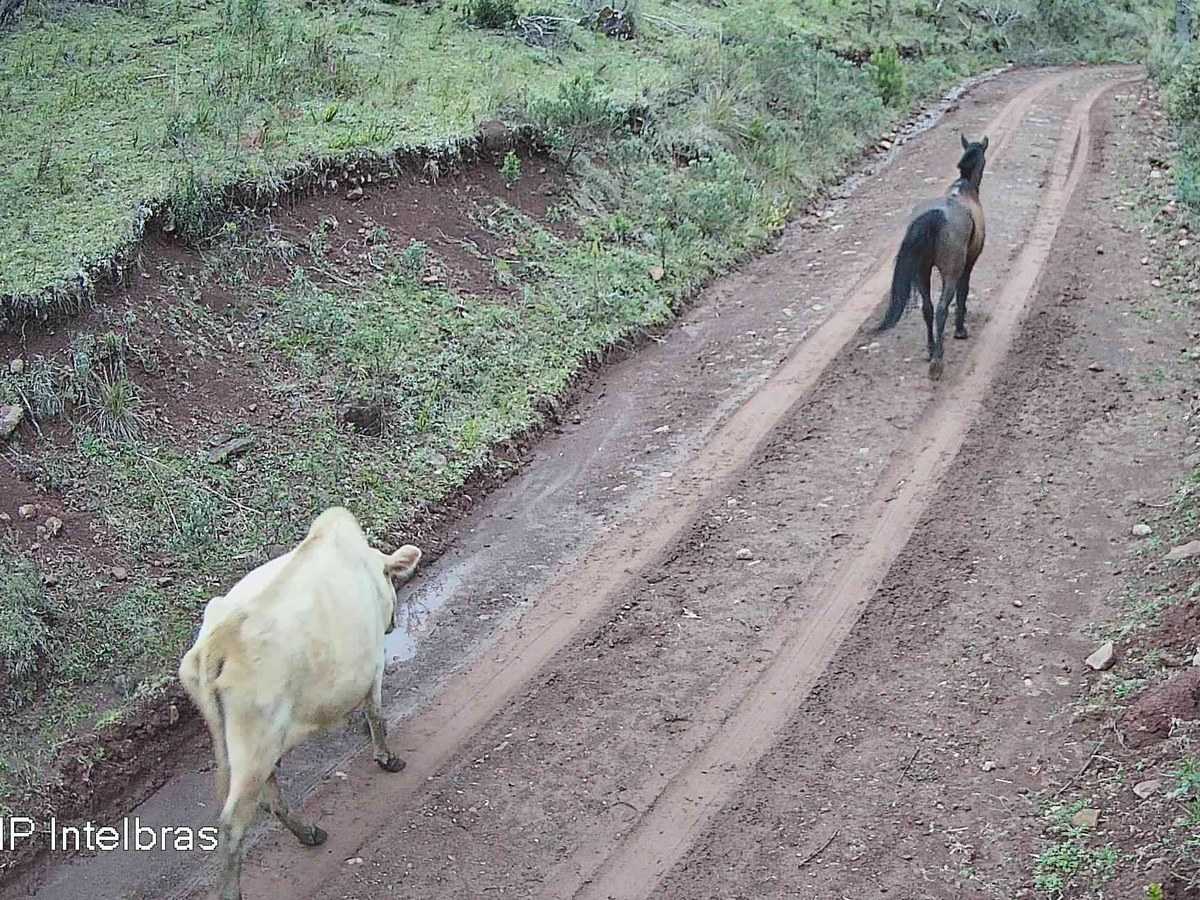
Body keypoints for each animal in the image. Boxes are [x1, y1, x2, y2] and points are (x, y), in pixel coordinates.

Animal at [178, 507, 422, 900]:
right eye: (390, 579)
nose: (393, 621)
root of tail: (220, 639)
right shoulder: (374, 661)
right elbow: (375, 711)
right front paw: (386, 757)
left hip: (253, 743)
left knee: (267, 794)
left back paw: (309, 833)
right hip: (257, 738)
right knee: (234, 821)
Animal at [877, 134, 989, 379]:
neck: (964, 189)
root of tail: (935, 217)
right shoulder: (968, 264)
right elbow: (963, 293)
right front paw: (960, 330)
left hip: (922, 272)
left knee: (927, 309)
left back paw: (930, 350)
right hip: (950, 271)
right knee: (940, 309)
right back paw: (937, 360)